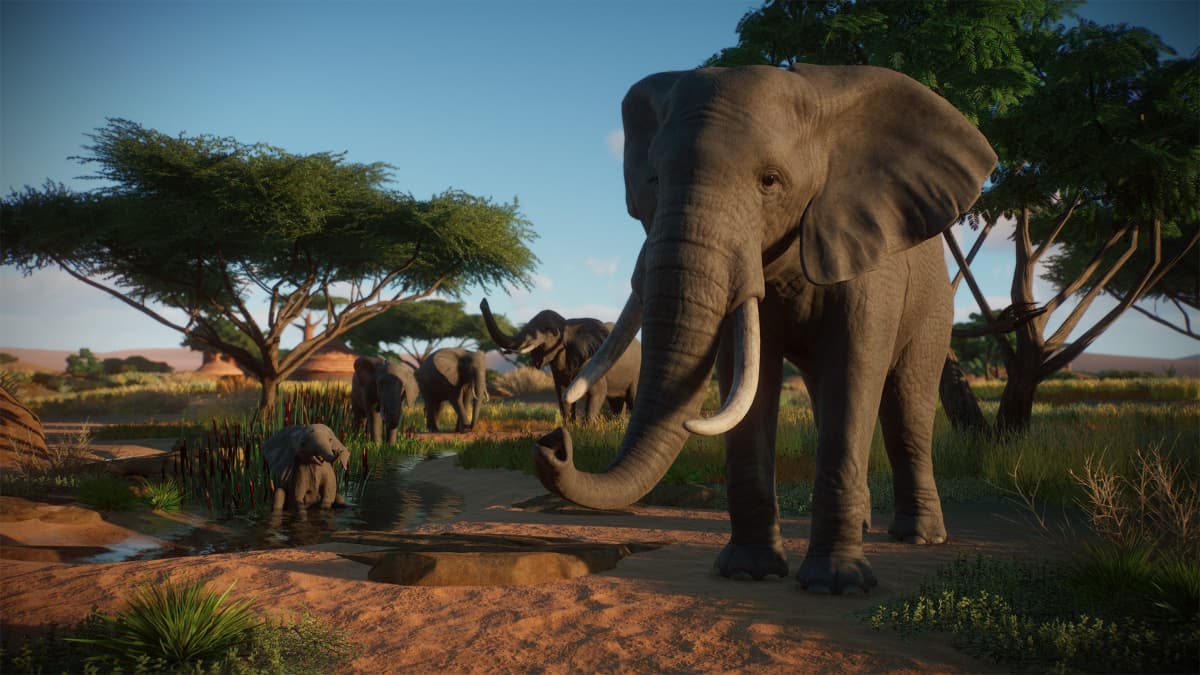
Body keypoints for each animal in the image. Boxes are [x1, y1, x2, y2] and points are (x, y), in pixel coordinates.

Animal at [479, 299, 640, 422]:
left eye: (550, 331)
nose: (483, 302)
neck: (567, 324)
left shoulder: (591, 360)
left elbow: (597, 392)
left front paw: (587, 429)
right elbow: (562, 391)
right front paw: (570, 427)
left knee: (631, 398)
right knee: (617, 402)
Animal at [533, 64, 996, 594]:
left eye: (770, 181)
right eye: (653, 179)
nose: (554, 442)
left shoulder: (866, 263)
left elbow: (855, 370)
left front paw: (836, 584)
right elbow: (748, 377)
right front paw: (747, 571)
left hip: (935, 303)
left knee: (907, 406)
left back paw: (918, 537)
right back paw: (864, 526)